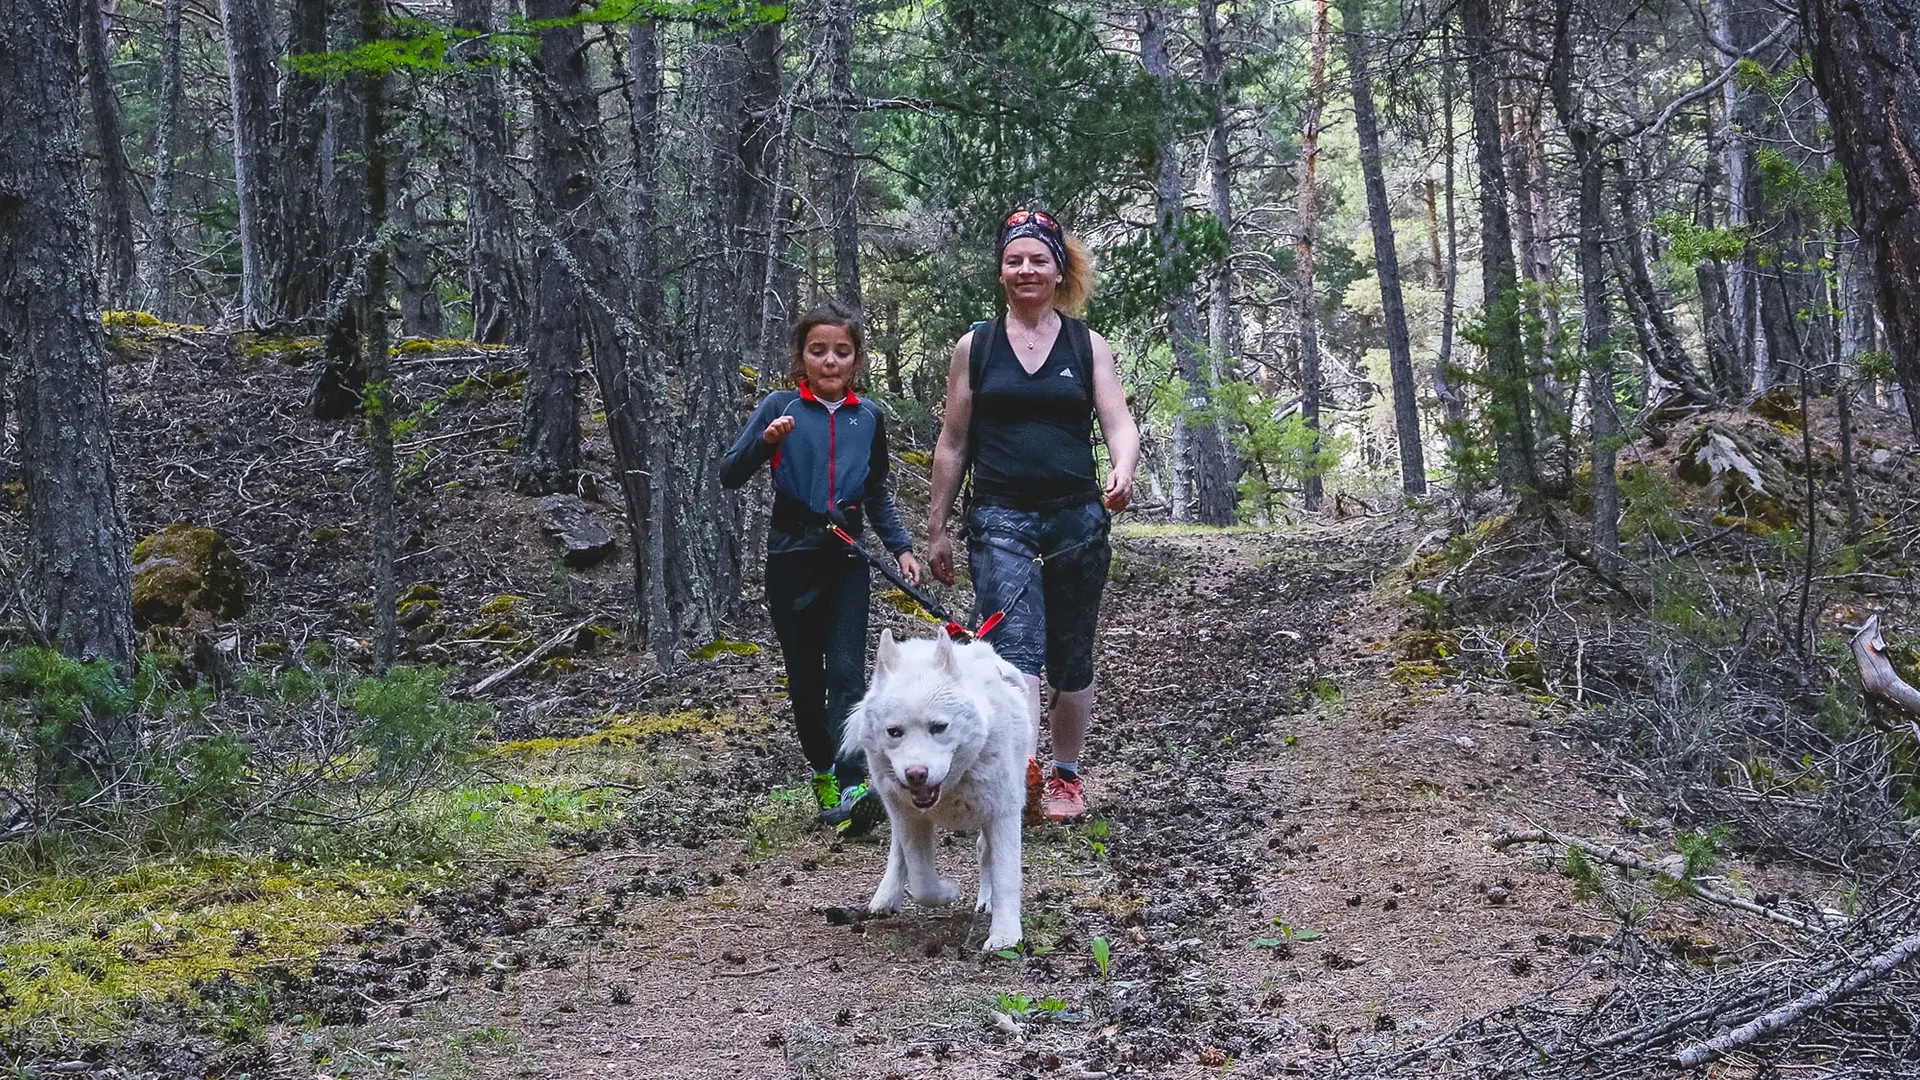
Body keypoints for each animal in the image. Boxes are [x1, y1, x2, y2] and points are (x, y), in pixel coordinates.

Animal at [844, 626, 1036, 945]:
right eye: (894, 732)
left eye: (939, 727)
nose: (916, 774)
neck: (952, 785)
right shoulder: (911, 819)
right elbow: (922, 881)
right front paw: (947, 891)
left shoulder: (1003, 813)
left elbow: (1006, 876)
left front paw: (1005, 936)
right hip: (896, 809)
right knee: (898, 853)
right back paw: (886, 896)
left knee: (984, 851)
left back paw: (987, 900)